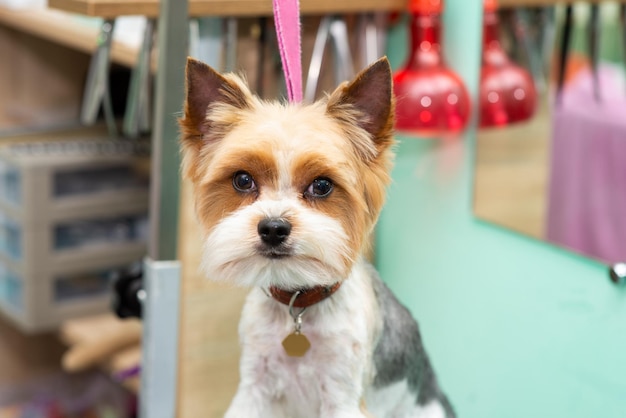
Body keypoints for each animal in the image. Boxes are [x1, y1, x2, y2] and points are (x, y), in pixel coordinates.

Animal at [178, 56, 450, 418]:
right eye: (242, 180)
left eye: (321, 185)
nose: (273, 228)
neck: (297, 305)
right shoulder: (254, 385)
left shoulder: (342, 394)